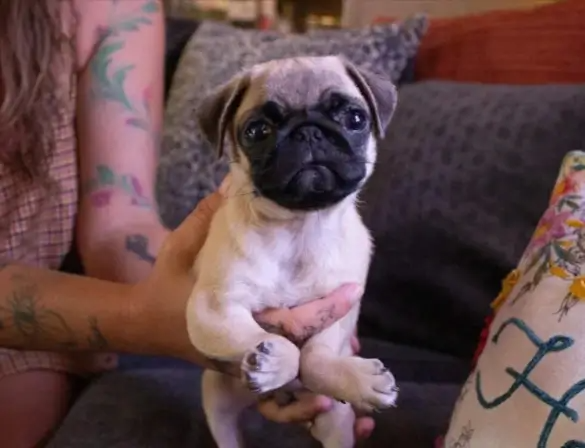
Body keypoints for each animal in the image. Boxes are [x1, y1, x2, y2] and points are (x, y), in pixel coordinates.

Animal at [186, 55, 398, 448]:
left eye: (355, 118)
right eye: (256, 130)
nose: (308, 132)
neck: (300, 228)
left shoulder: (339, 309)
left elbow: (315, 356)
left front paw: (359, 380)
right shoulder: (212, 310)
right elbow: (273, 340)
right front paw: (275, 362)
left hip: (337, 422)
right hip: (217, 399)